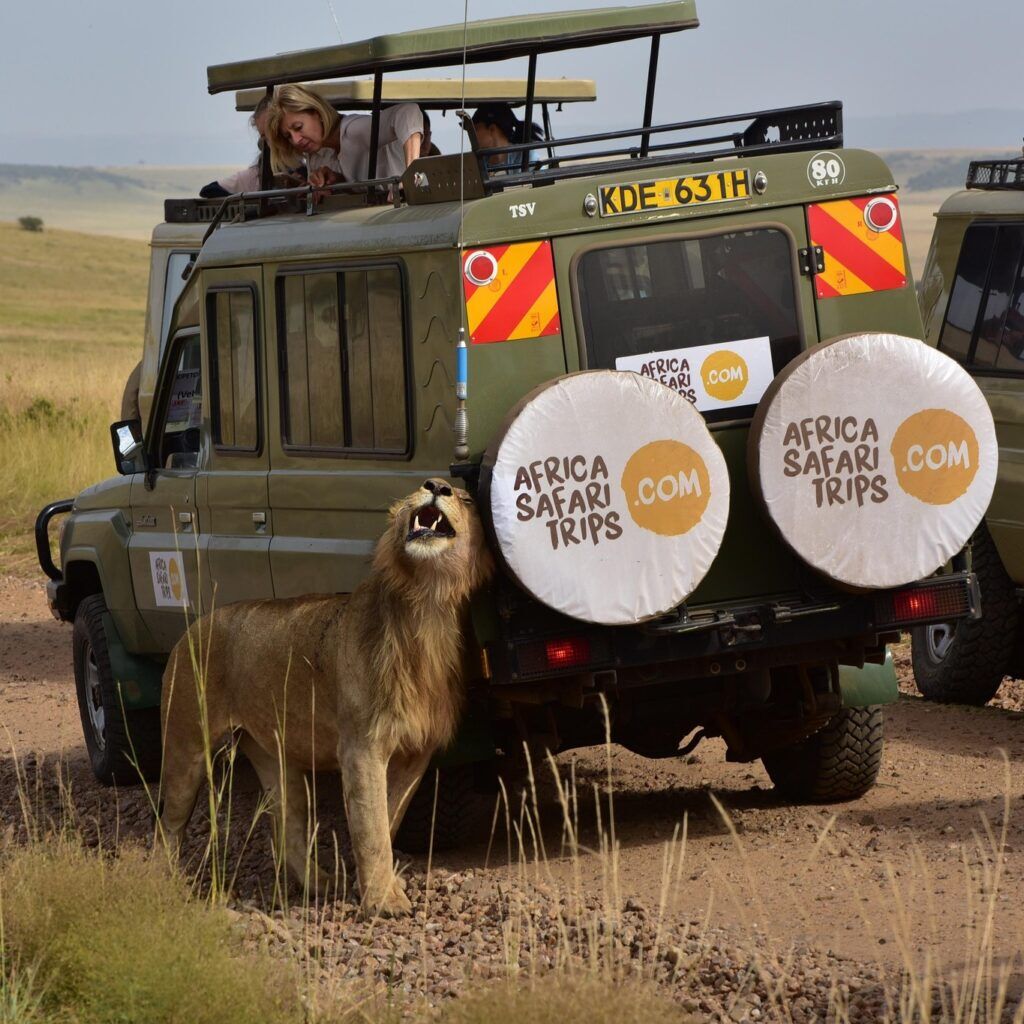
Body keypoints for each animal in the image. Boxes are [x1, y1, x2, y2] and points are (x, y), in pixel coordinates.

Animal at [157, 479, 493, 921]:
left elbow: (388, 819)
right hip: (186, 750)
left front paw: (377, 887)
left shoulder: (415, 753)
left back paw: (321, 884)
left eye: (466, 499)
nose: (435, 485)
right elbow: (371, 828)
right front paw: (383, 902)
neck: (426, 603)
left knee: (286, 831)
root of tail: (190, 629)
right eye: (417, 491)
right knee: (168, 826)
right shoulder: (361, 747)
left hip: (278, 762)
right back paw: (165, 886)